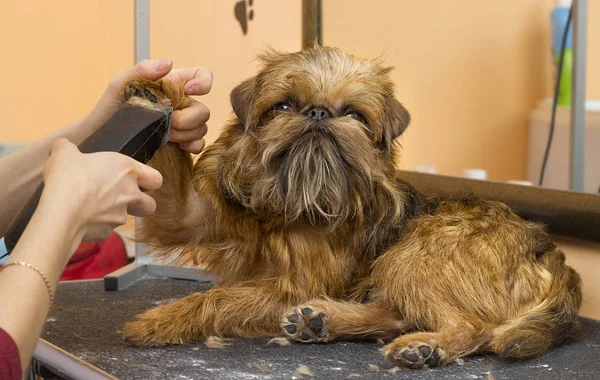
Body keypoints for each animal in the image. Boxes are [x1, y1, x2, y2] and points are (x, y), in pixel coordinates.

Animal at [120, 45, 580, 368]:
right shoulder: (188, 215)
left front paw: (160, 321)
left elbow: (215, 299)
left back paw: (426, 347)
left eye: (354, 115)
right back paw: (322, 321)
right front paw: (157, 92)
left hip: (417, 250)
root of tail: (551, 256)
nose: (319, 113)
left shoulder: (290, 287)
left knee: (471, 325)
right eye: (283, 106)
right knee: (400, 313)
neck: (291, 201)